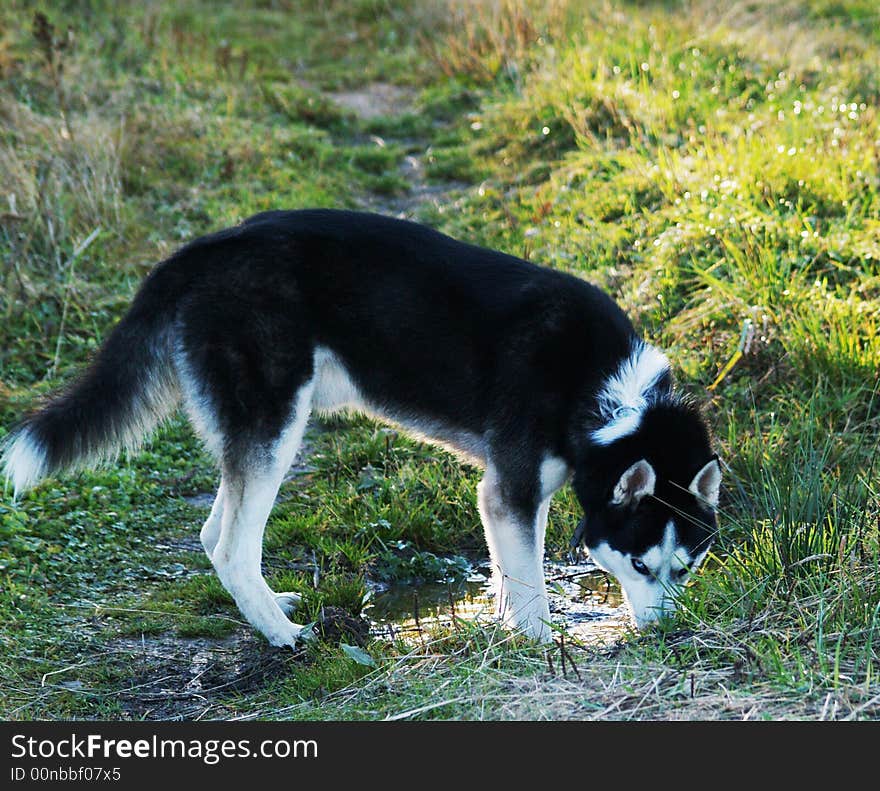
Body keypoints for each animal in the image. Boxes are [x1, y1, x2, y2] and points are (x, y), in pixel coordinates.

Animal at [3, 209, 720, 644]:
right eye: (638, 563)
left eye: (686, 569)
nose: (666, 634)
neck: (604, 393)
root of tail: (206, 248)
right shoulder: (510, 491)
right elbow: (531, 587)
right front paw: (541, 643)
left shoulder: (513, 496)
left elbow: (509, 576)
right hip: (277, 428)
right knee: (232, 545)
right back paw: (283, 636)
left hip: (255, 432)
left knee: (213, 535)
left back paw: (273, 609)